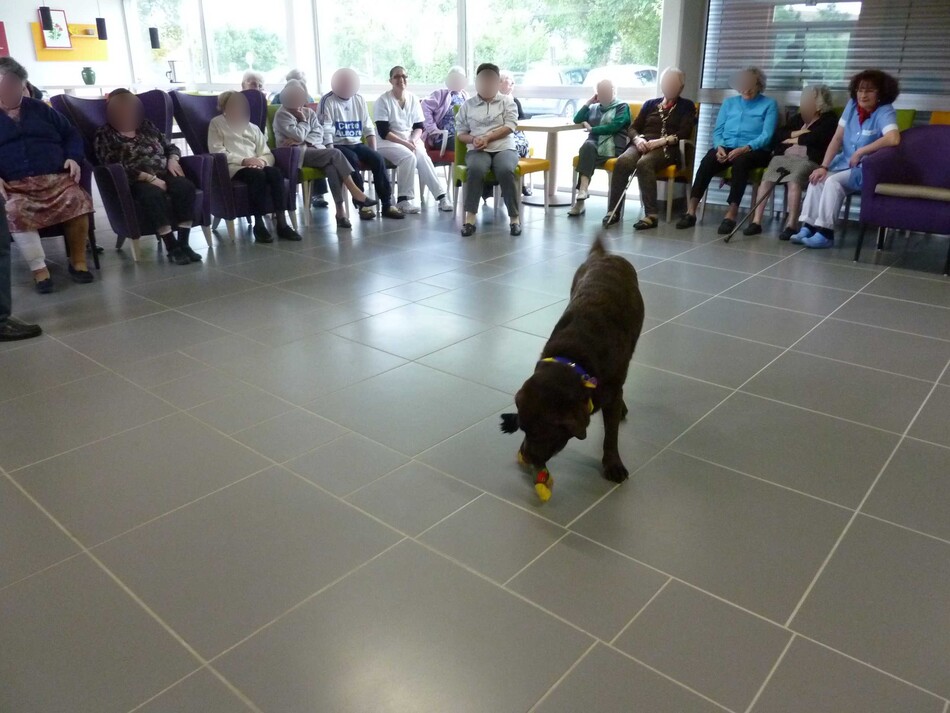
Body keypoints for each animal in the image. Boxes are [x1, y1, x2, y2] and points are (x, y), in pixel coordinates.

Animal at [498, 234, 648, 484]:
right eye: (523, 428)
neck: (575, 360)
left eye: (544, 432)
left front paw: (613, 464)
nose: (526, 458)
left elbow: (611, 435)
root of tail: (604, 255)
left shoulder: (612, 390)